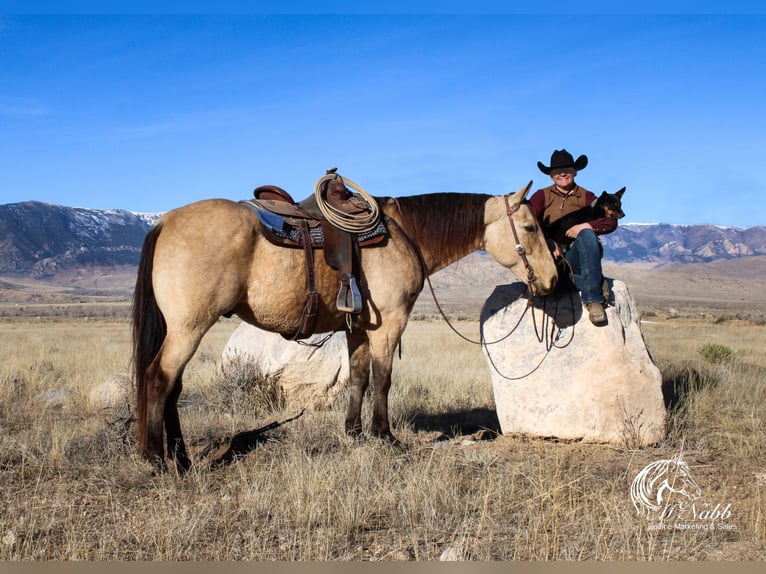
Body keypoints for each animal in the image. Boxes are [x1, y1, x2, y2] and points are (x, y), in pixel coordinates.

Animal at [134, 181, 560, 472]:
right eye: (530, 228)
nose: (554, 278)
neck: (406, 234)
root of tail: (165, 222)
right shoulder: (390, 323)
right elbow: (383, 378)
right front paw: (385, 435)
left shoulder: (357, 328)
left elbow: (358, 377)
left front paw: (354, 431)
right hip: (189, 328)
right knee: (159, 378)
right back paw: (156, 458)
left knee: (172, 388)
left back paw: (181, 458)